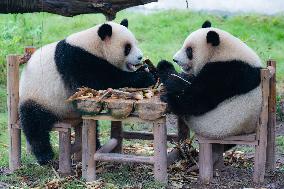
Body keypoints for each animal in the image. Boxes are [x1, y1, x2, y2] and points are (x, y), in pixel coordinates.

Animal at [18, 18, 156, 165]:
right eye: (127, 48)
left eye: (135, 43)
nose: (140, 57)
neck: (93, 45)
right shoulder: (77, 61)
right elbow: (100, 81)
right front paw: (144, 77)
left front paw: (148, 69)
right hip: (38, 97)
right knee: (34, 123)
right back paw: (45, 156)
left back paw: (96, 146)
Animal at [158, 21, 262, 159]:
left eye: (189, 50)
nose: (175, 59)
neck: (223, 52)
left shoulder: (227, 72)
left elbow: (198, 99)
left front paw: (167, 71)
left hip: (216, 127)